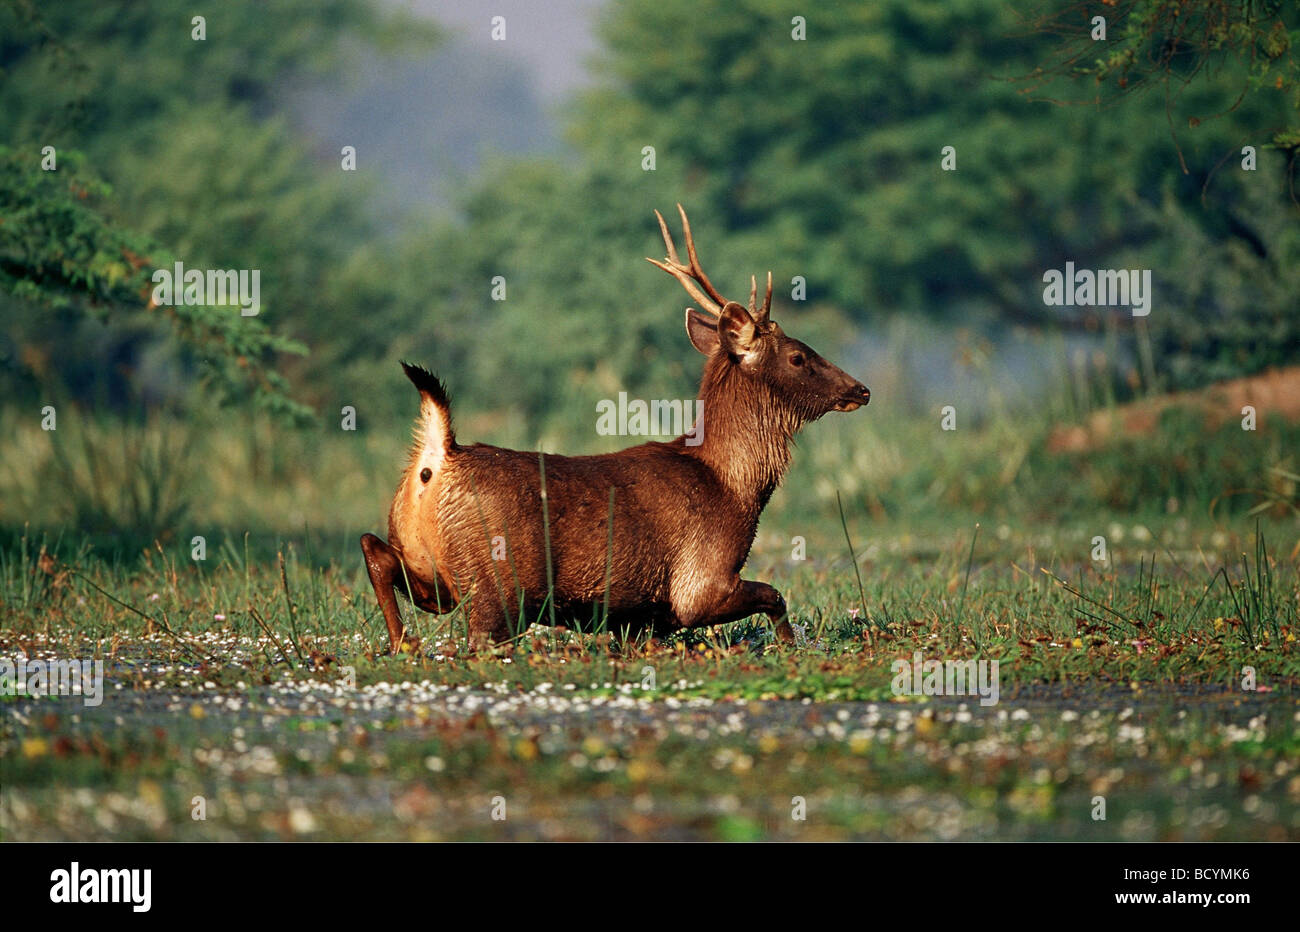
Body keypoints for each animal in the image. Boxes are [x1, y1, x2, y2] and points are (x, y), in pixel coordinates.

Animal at [361, 206, 868, 649]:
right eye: (798, 356)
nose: (861, 389)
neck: (734, 486)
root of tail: (437, 457)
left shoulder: (642, 617)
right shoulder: (698, 584)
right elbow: (776, 596)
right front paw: (790, 646)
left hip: (430, 571)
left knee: (375, 549)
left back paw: (403, 642)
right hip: (497, 581)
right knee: (479, 637)